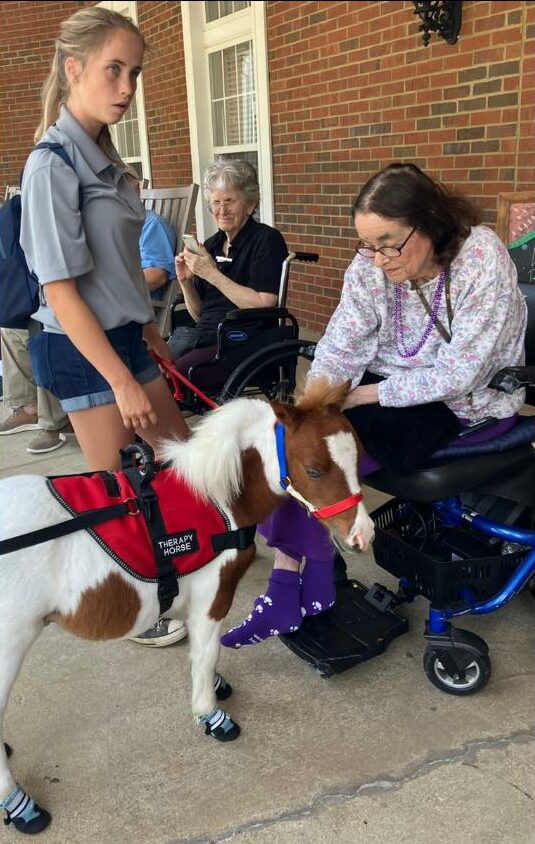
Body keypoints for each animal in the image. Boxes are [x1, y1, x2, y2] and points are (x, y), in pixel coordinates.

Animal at [0, 380, 374, 832]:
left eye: (358, 456)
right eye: (315, 470)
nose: (362, 535)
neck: (217, 499)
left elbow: (199, 651)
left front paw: (215, 685)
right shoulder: (213, 594)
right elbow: (206, 651)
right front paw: (210, 714)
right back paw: (21, 804)